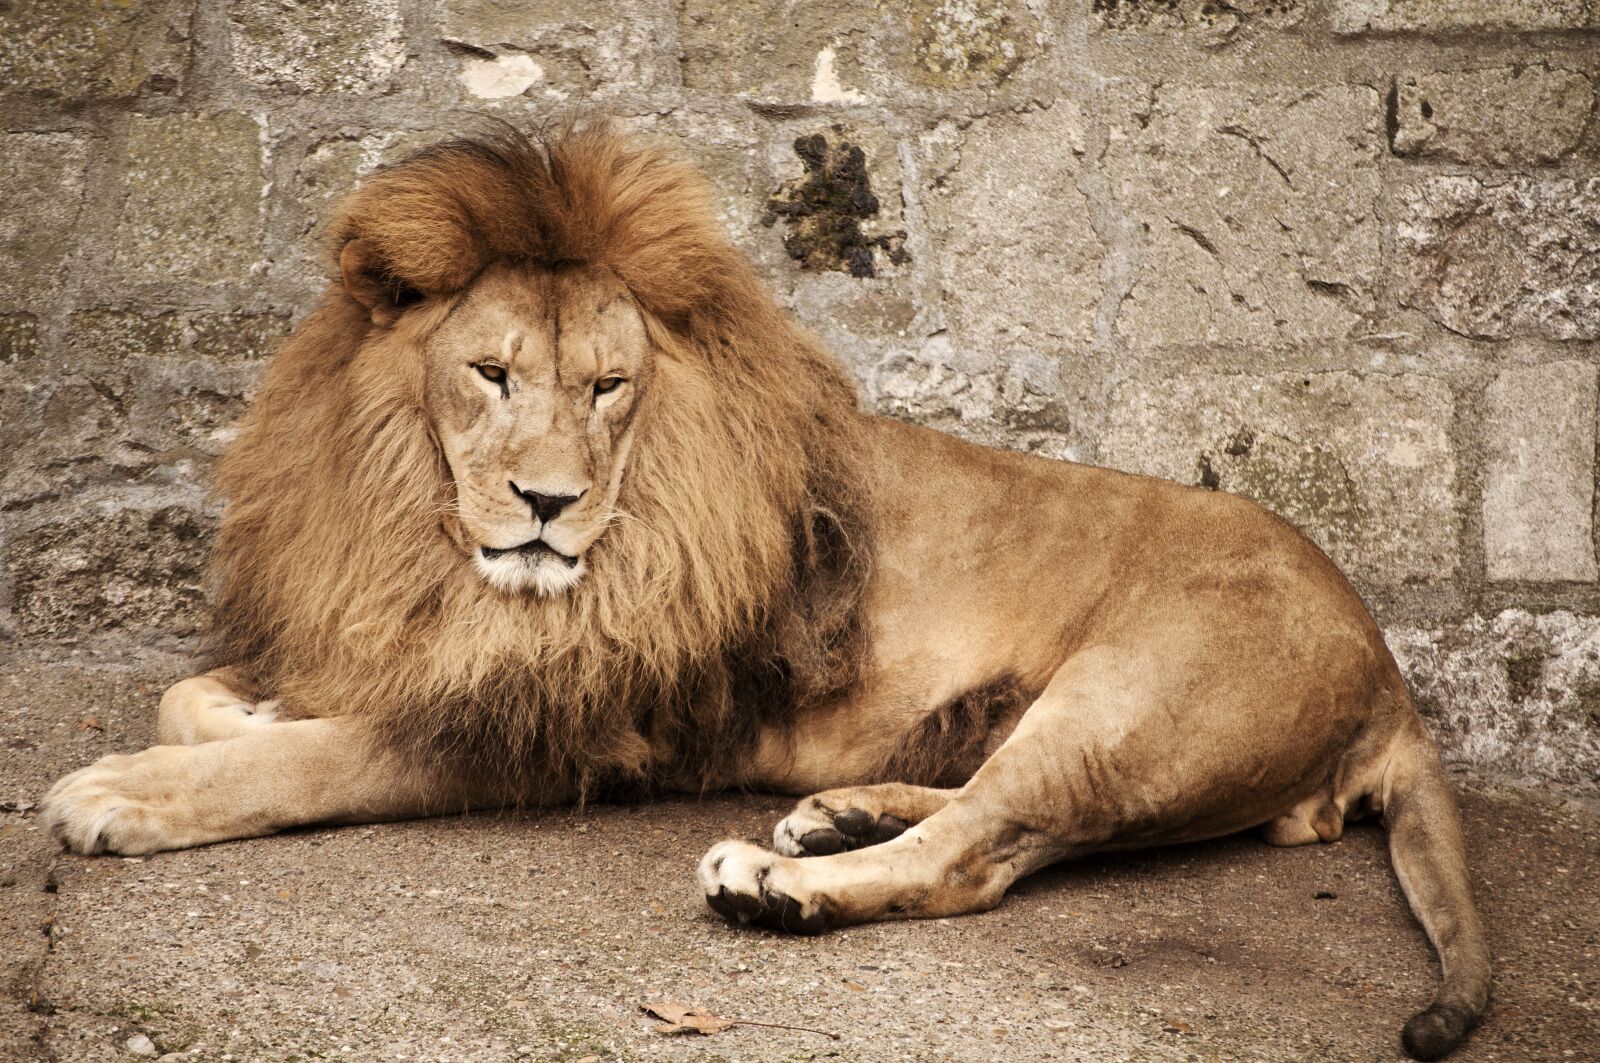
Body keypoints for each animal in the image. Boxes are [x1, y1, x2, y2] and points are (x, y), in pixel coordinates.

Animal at [42, 124, 1489, 1060]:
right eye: (492, 373)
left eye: (609, 386)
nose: (547, 504)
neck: (430, 535)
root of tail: (1390, 666)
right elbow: (196, 697)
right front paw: (239, 711)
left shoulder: (549, 728)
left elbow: (300, 762)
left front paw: (123, 791)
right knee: (992, 807)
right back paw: (836, 814)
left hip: (1133, 694)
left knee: (978, 855)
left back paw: (779, 881)